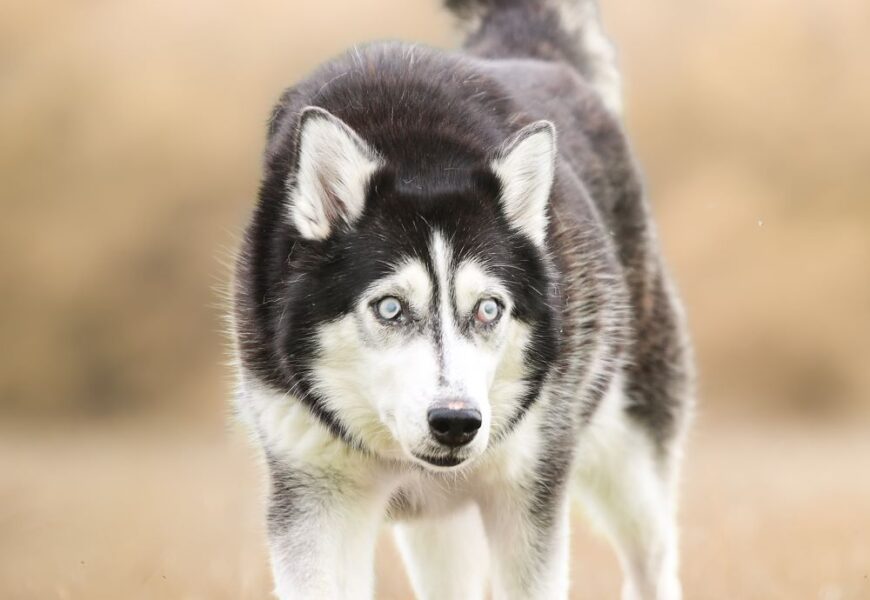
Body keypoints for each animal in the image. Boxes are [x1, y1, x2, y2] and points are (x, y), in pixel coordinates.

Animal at [232, 0, 696, 596]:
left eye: (488, 309)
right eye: (389, 307)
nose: (456, 422)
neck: (419, 155)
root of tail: (530, 53)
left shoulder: (528, 491)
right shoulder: (317, 498)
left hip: (631, 461)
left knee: (652, 557)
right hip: (439, 524)